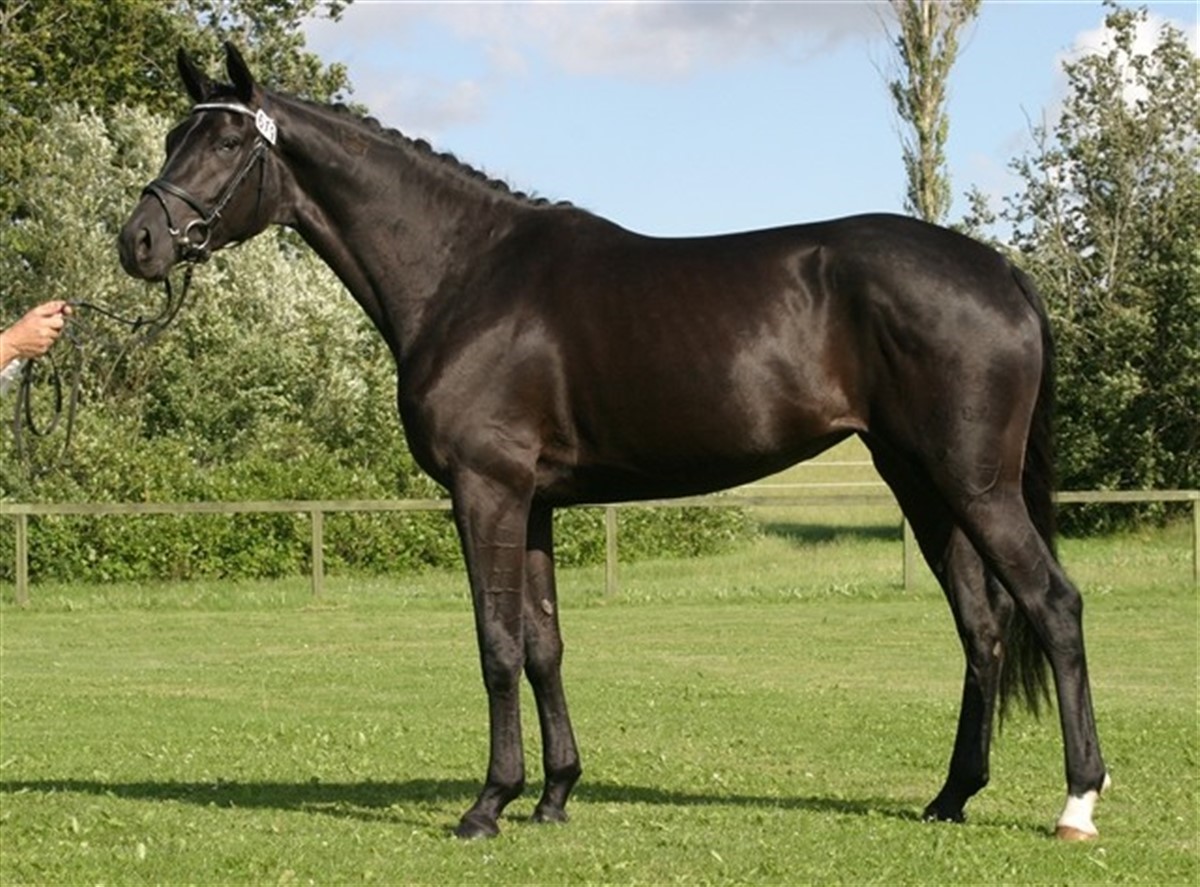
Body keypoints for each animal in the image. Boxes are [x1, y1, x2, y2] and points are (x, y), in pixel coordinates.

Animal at [118, 44, 1109, 841]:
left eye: (225, 145)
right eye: (171, 134)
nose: (138, 242)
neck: (465, 274)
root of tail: (1001, 270)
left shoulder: (485, 490)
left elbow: (495, 643)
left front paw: (488, 804)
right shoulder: (536, 503)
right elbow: (545, 644)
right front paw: (555, 794)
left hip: (973, 482)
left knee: (1054, 605)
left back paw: (1077, 802)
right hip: (922, 482)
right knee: (982, 626)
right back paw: (950, 796)